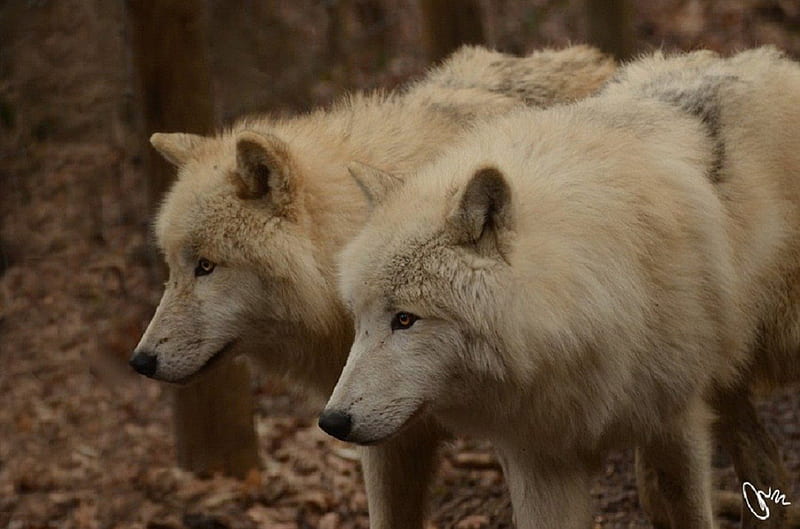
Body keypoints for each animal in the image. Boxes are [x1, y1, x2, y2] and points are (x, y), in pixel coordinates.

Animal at [324, 46, 800, 528]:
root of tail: (771, 61)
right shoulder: (542, 457)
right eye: (359, 320)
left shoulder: (676, 421)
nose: (332, 422)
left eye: (405, 319)